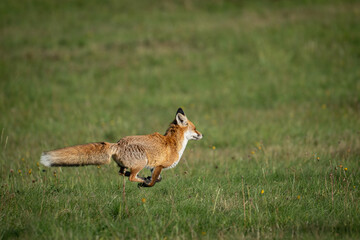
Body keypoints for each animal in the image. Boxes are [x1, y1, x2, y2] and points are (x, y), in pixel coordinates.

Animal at [40, 108, 202, 188]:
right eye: (195, 128)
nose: (202, 134)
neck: (173, 143)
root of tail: (118, 143)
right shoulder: (159, 165)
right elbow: (154, 180)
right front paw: (147, 184)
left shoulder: (153, 167)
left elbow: (157, 178)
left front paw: (148, 180)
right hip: (141, 162)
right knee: (130, 177)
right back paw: (142, 181)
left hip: (131, 165)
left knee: (122, 173)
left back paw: (141, 179)